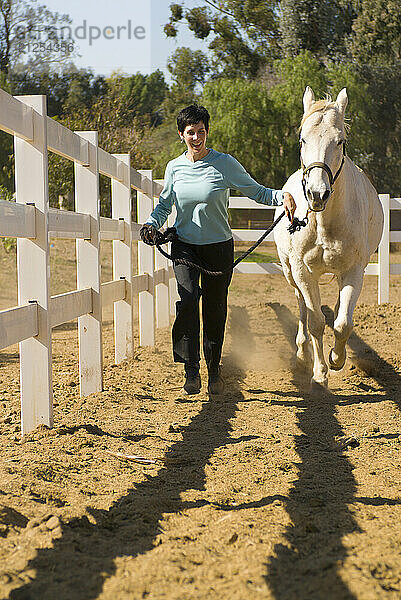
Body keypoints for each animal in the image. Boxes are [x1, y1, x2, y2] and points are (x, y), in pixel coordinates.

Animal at [274, 88, 382, 390]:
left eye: (340, 141)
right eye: (302, 139)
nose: (316, 194)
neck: (324, 223)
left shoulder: (354, 270)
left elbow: (343, 323)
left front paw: (336, 359)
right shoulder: (302, 271)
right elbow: (315, 322)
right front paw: (319, 372)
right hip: (290, 273)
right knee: (302, 306)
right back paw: (301, 354)